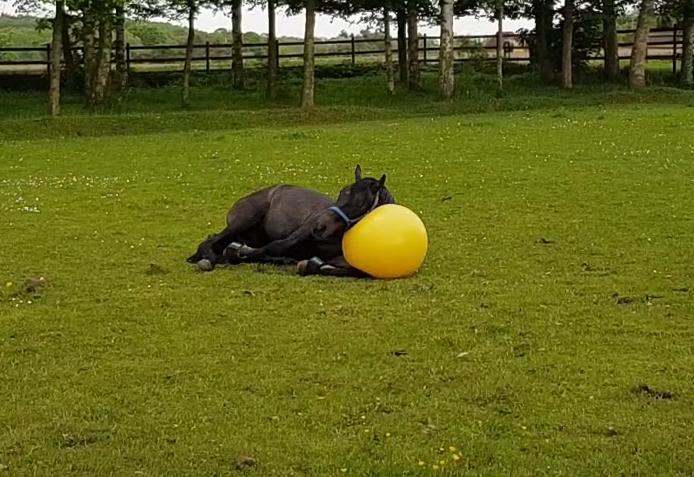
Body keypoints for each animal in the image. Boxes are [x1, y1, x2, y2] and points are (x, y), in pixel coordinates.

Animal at [186, 165, 396, 278]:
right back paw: (208, 257)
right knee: (211, 241)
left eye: (359, 203)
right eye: (341, 193)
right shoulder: (300, 232)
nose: (319, 226)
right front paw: (239, 253)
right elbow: (275, 246)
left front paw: (312, 264)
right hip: (243, 221)